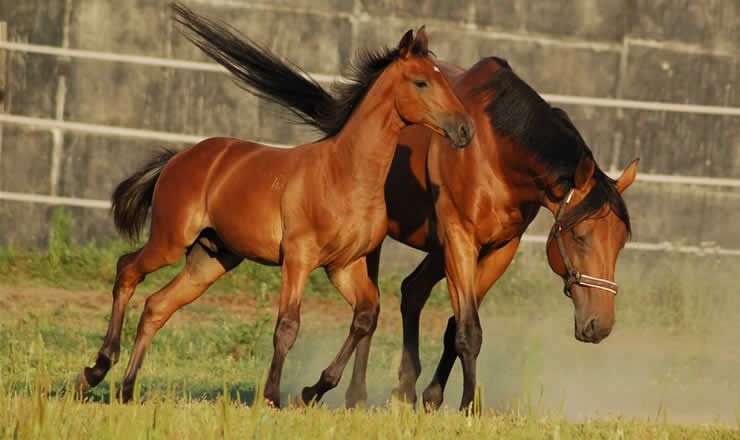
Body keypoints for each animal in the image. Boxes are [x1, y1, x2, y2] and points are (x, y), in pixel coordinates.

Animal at [72, 4, 472, 410]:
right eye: (421, 82)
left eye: (446, 80)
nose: (465, 130)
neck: (345, 173)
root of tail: (179, 158)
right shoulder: (298, 257)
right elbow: (288, 326)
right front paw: (273, 397)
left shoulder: (344, 265)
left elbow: (365, 317)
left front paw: (311, 392)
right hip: (170, 241)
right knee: (127, 270)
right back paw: (96, 370)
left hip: (210, 259)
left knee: (157, 306)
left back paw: (125, 389)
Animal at [218, 49, 636, 410]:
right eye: (580, 236)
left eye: (620, 244)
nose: (600, 325)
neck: (496, 152)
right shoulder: (460, 239)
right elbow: (469, 330)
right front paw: (469, 406)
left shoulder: (500, 248)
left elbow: (455, 324)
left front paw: (435, 397)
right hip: (380, 246)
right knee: (374, 310)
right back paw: (357, 395)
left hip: (433, 250)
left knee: (410, 293)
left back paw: (405, 390)